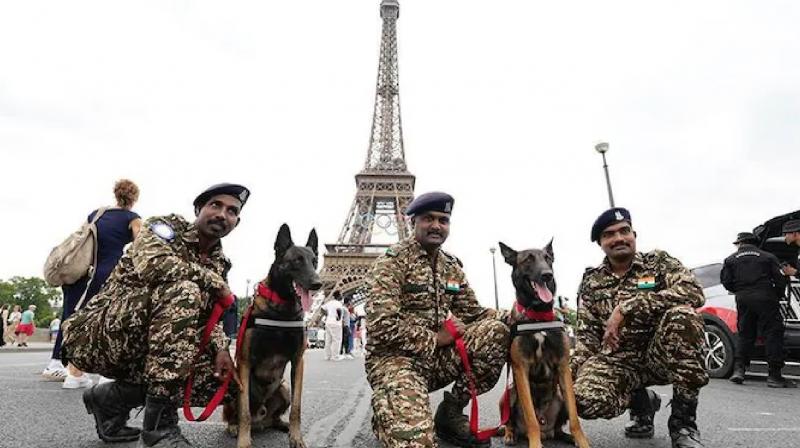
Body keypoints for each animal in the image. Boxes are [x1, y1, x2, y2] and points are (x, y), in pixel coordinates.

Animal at [222, 224, 322, 448]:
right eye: (296, 261)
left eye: (314, 262)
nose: (317, 283)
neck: (282, 310)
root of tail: (261, 420)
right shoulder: (244, 362)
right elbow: (244, 412)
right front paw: (243, 441)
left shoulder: (298, 361)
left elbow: (297, 408)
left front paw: (296, 437)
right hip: (232, 386)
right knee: (236, 415)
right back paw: (234, 427)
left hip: (283, 389)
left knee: (274, 417)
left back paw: (281, 425)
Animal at [500, 242, 588, 448]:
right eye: (528, 259)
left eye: (548, 258)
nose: (547, 275)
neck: (538, 315)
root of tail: (546, 430)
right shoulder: (520, 369)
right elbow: (531, 417)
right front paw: (535, 444)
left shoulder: (563, 367)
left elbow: (574, 417)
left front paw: (582, 441)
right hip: (509, 394)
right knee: (510, 421)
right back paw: (510, 435)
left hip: (560, 397)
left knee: (558, 429)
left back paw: (567, 437)